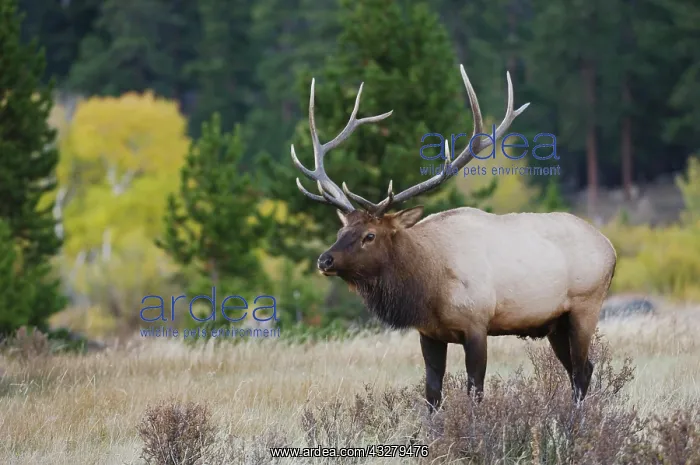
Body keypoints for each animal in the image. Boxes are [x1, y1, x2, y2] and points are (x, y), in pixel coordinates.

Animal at [289, 64, 617, 412]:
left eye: (369, 235)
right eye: (341, 231)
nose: (325, 260)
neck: (429, 287)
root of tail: (610, 248)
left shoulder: (477, 324)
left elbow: (476, 390)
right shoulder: (429, 334)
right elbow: (432, 394)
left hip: (585, 305)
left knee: (581, 370)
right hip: (556, 322)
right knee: (581, 368)